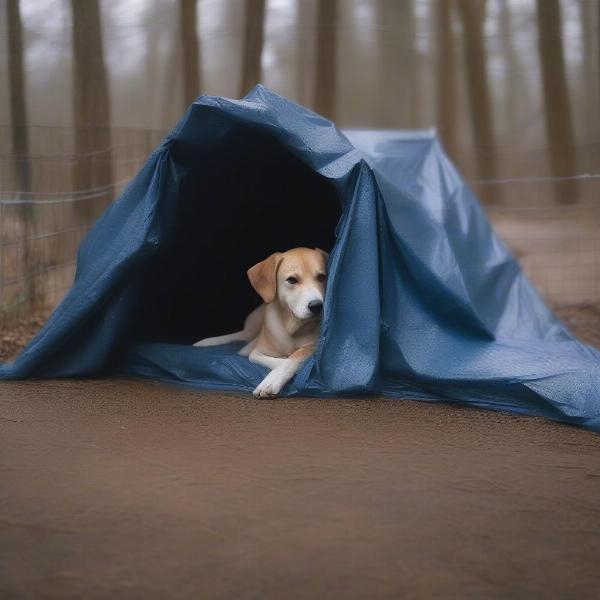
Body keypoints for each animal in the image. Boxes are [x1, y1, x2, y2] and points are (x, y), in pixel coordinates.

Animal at [195, 248, 328, 398]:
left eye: (322, 277)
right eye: (292, 280)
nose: (317, 306)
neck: (292, 327)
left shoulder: (313, 345)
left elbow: (293, 359)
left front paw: (272, 381)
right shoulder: (257, 352)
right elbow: (271, 358)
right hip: (251, 327)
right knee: (240, 336)